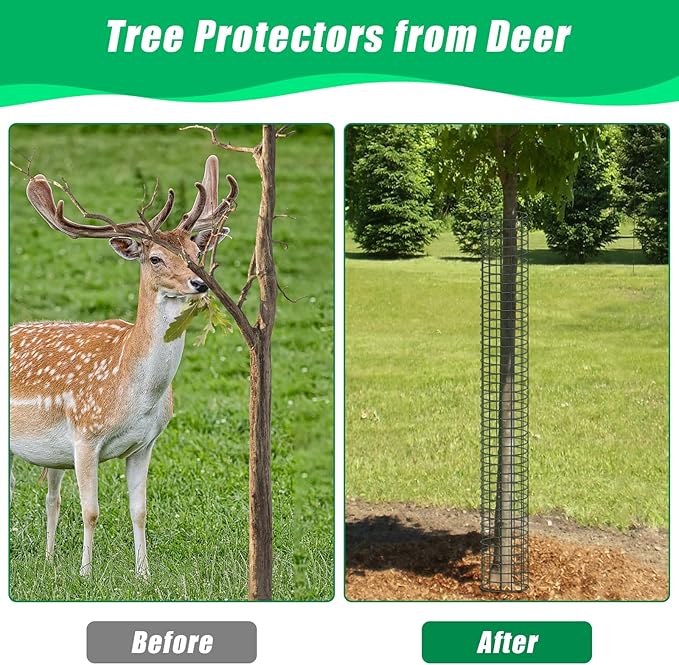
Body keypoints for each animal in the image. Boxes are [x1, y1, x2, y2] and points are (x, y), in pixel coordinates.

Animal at [10, 156, 238, 577]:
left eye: (194, 254)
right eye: (155, 258)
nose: (199, 283)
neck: (133, 391)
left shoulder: (145, 443)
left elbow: (140, 511)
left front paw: (144, 574)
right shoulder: (85, 435)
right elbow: (91, 511)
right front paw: (85, 574)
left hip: (51, 455)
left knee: (51, 496)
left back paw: (49, 561)